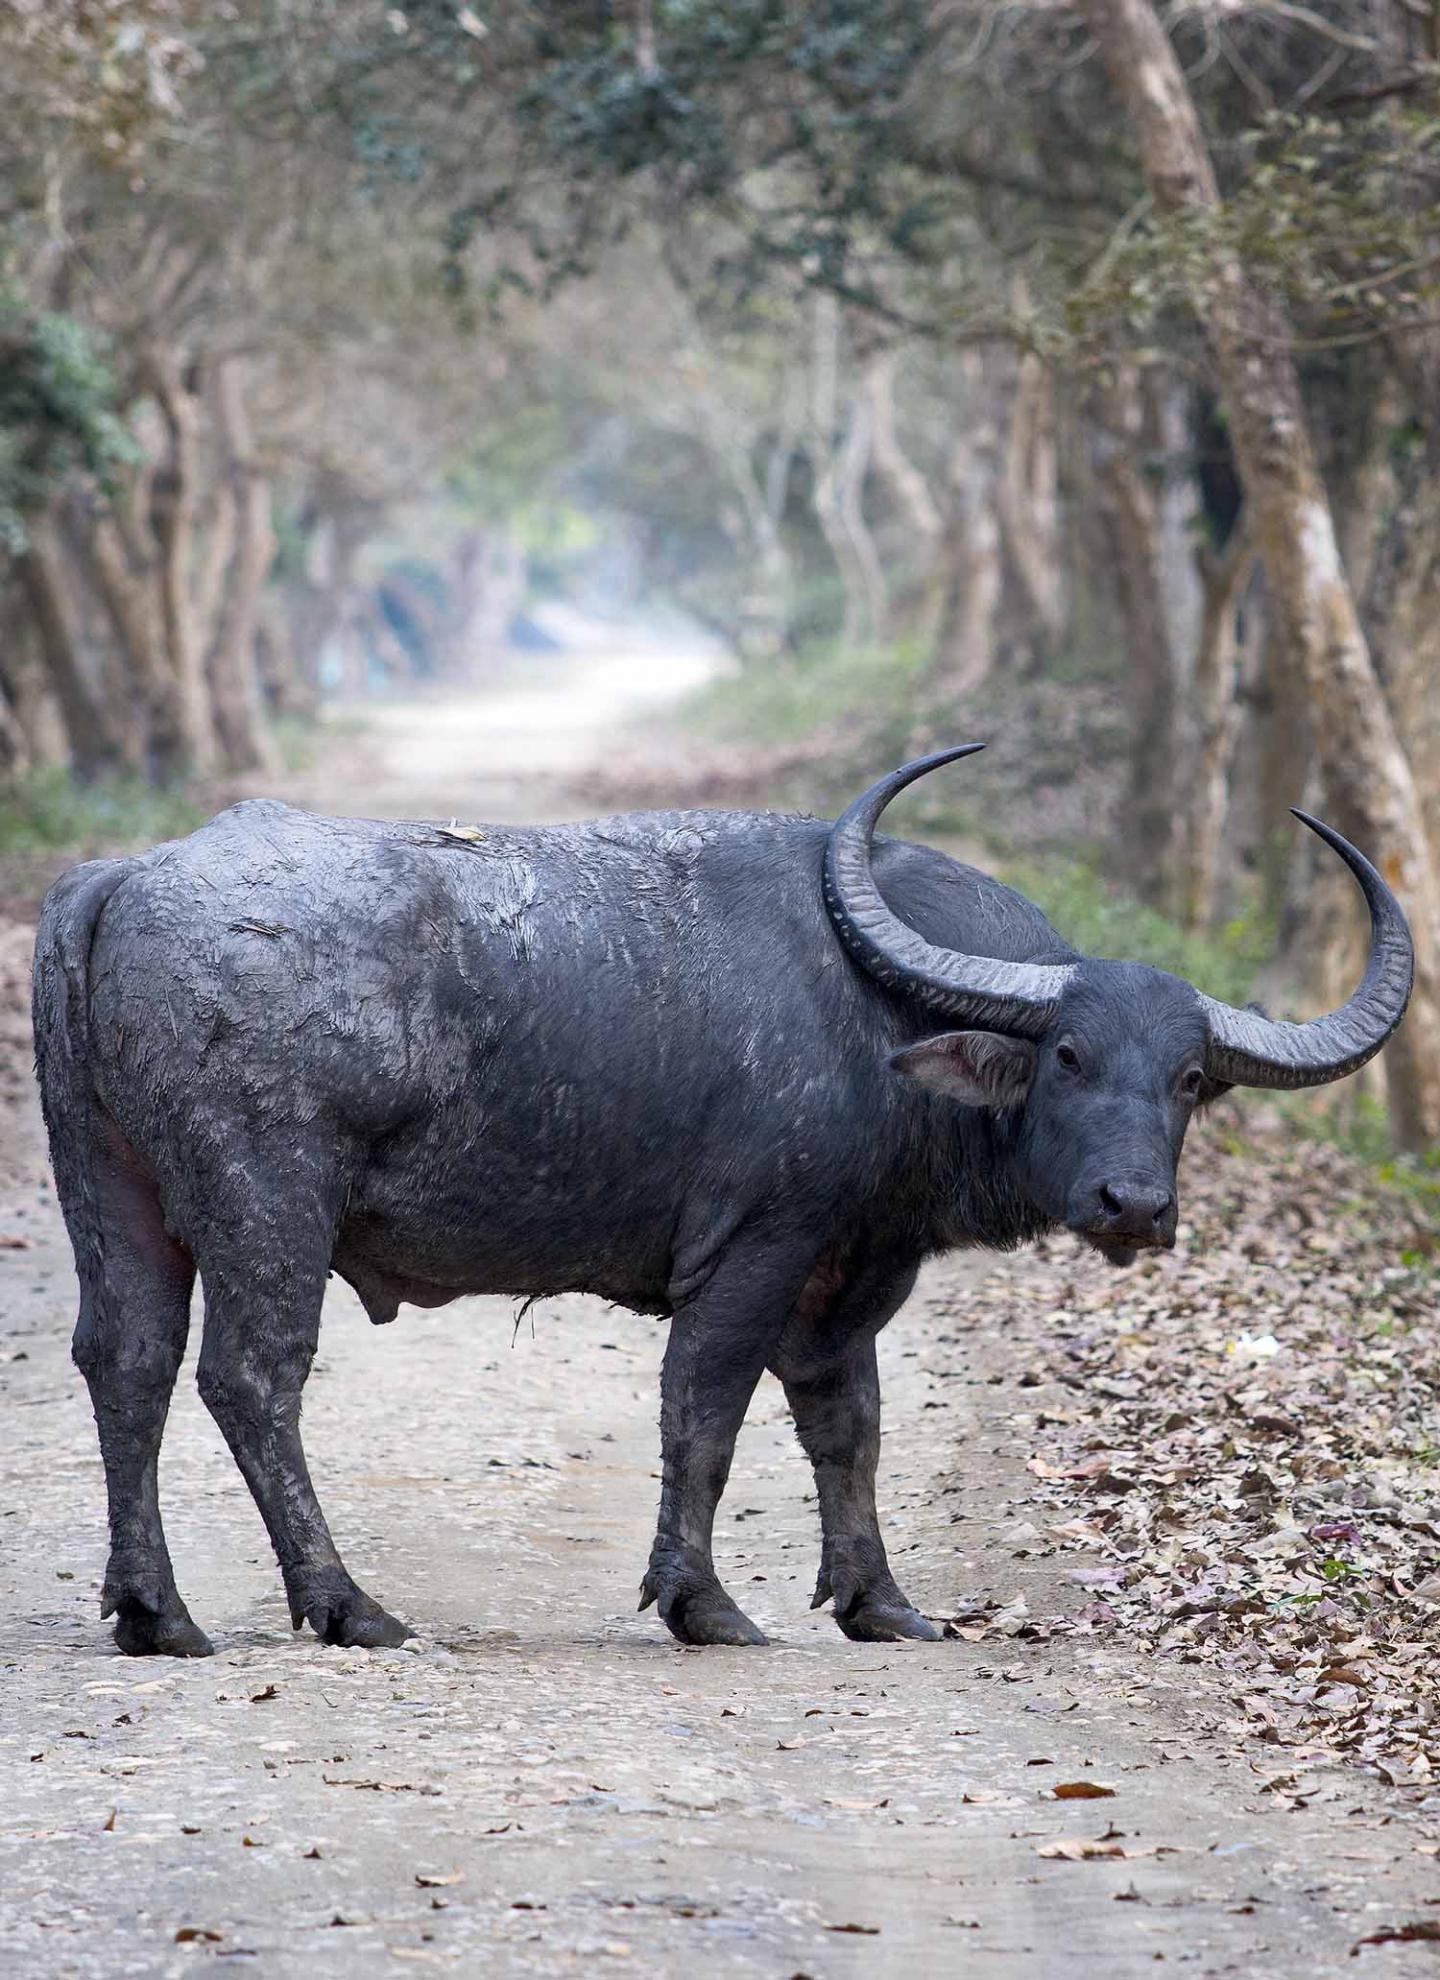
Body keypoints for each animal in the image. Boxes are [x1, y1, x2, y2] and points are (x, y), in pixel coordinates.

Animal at [28, 748, 1410, 1647]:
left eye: (1189, 1078)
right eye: (1068, 1054)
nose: (1133, 1204)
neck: (879, 1019)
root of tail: (121, 880)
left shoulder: (853, 1273)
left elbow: (849, 1427)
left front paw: (880, 1602)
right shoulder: (756, 1251)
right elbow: (705, 1414)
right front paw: (702, 1602)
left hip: (114, 1190)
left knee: (127, 1361)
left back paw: (155, 1613)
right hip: (270, 1205)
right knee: (250, 1377)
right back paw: (346, 1605)